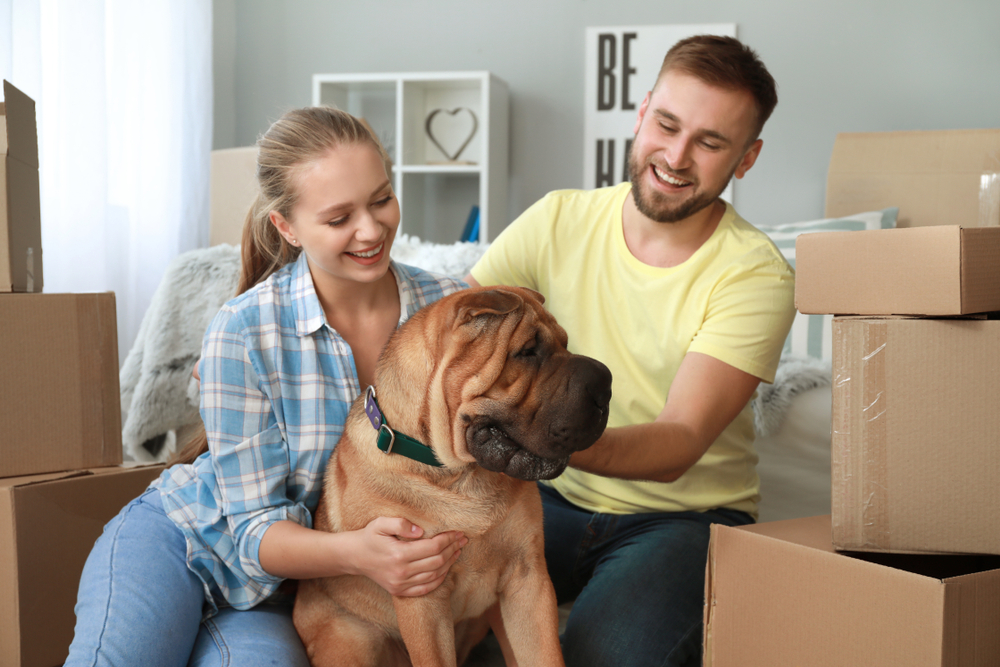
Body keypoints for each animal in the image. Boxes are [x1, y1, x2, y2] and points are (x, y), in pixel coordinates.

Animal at [292, 286, 612, 667]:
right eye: (527, 352)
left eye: (565, 342)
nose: (606, 385)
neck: (461, 475)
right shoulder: (420, 592)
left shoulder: (528, 577)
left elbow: (545, 654)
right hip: (353, 638)